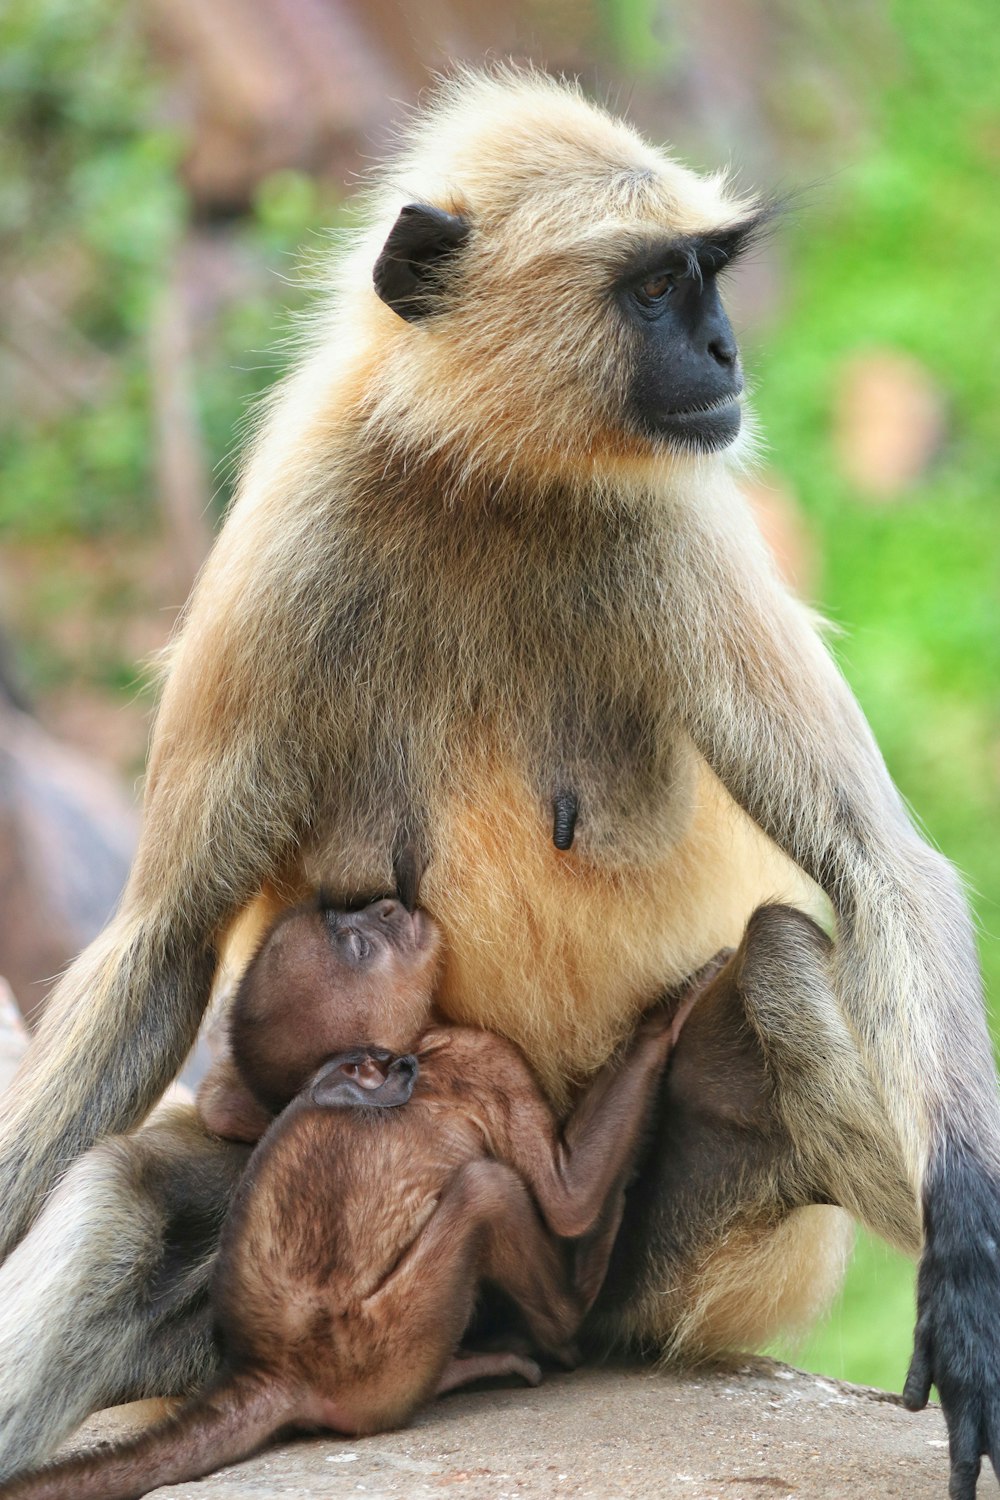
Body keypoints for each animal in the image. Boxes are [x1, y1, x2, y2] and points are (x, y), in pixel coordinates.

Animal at [1, 900, 704, 1500]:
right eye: (361, 944)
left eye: (357, 915)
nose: (389, 905)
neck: (416, 1045)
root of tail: (277, 1370)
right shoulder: (485, 1055)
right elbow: (568, 1201)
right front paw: (670, 1013)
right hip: (378, 1348)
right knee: (487, 1192)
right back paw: (566, 1313)